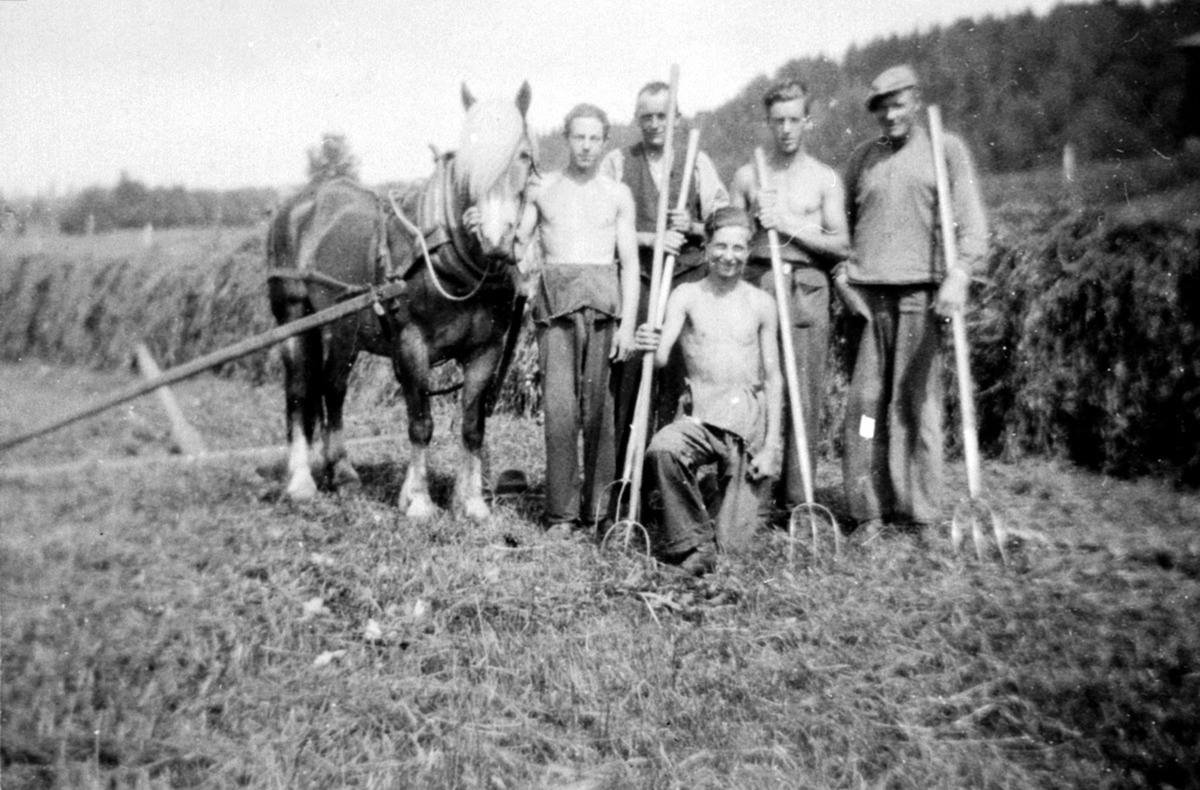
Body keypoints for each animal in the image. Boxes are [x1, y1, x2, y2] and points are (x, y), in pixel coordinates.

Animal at [270, 82, 537, 521]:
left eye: (525, 156)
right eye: (467, 160)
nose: (496, 239)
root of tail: (301, 201)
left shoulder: (487, 350)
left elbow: (472, 426)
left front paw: (471, 503)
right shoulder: (412, 344)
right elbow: (420, 423)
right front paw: (419, 501)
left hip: (344, 330)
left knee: (332, 388)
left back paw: (343, 474)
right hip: (293, 320)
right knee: (298, 392)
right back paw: (301, 482)